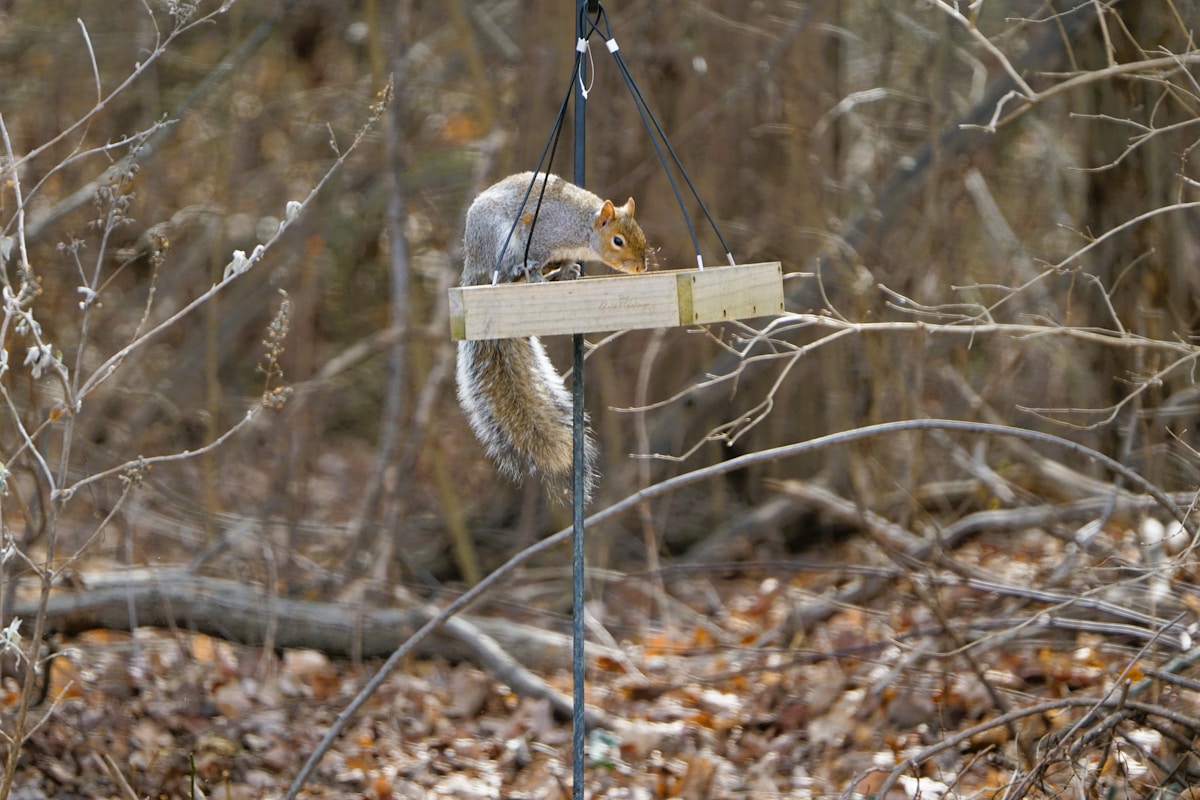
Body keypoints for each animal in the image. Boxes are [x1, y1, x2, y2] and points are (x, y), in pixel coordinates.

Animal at [455, 171, 652, 503]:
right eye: (618, 241)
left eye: (641, 234)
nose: (641, 267)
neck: (582, 227)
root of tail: (473, 265)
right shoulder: (543, 233)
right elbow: (535, 255)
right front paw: (540, 273)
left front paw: (570, 269)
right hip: (499, 241)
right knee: (506, 273)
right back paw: (523, 272)